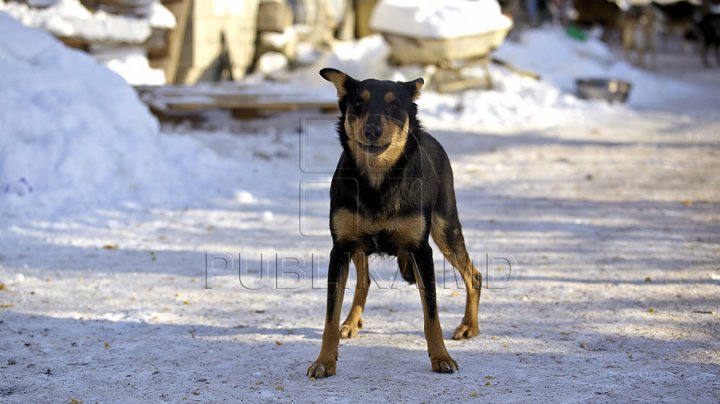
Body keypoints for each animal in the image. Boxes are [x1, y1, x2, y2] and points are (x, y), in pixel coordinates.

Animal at [306, 67, 480, 378]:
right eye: (358, 104)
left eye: (395, 106)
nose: (372, 131)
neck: (379, 180)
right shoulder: (340, 248)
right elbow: (330, 315)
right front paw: (324, 361)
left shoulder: (421, 250)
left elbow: (431, 313)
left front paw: (441, 357)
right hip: (358, 244)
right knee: (364, 281)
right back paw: (351, 322)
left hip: (446, 226)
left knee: (474, 275)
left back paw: (469, 327)